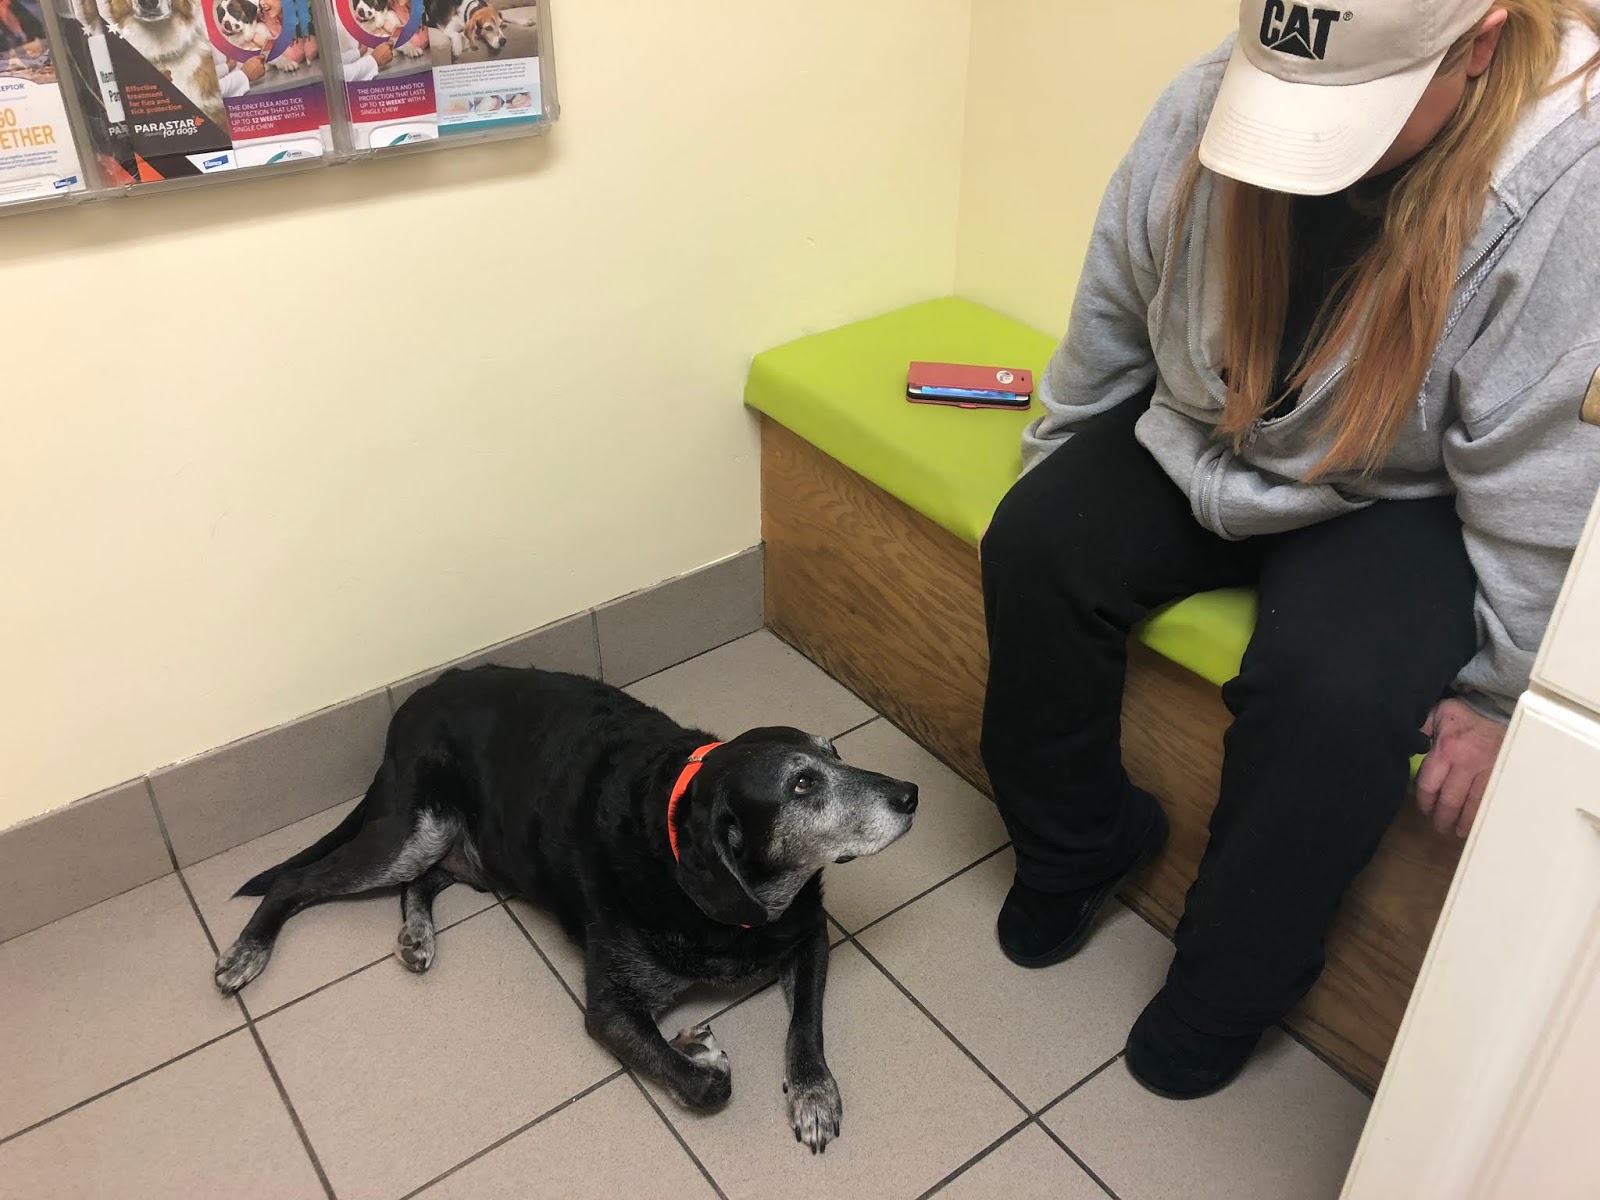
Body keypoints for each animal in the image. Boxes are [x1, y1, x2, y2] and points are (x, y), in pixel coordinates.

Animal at [212, 665, 919, 1151]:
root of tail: (411, 703)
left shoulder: (810, 935)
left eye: (835, 752)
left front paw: (813, 1093)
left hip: (452, 847)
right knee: (296, 882)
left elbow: (806, 1026)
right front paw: (697, 1051)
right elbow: (703, 1084)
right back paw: (246, 952)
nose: (911, 792)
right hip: (411, 830)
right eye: (801, 784)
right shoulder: (608, 1008)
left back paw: (417, 936)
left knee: (425, 882)